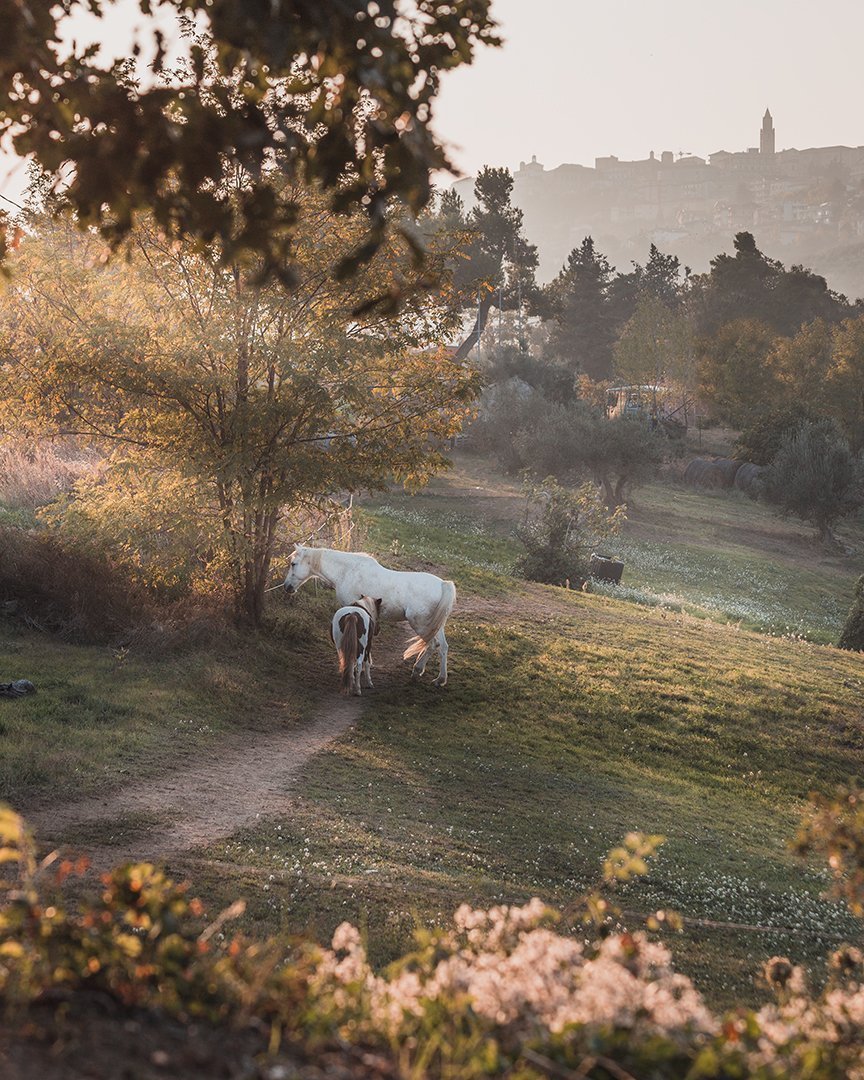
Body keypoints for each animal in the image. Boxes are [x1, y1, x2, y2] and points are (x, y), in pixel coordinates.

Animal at [283, 545, 456, 686]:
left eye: (293, 564)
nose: (287, 587)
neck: (347, 571)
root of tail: (443, 584)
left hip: (421, 625)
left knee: (433, 645)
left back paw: (417, 671)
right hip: (435, 626)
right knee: (443, 647)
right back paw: (440, 679)